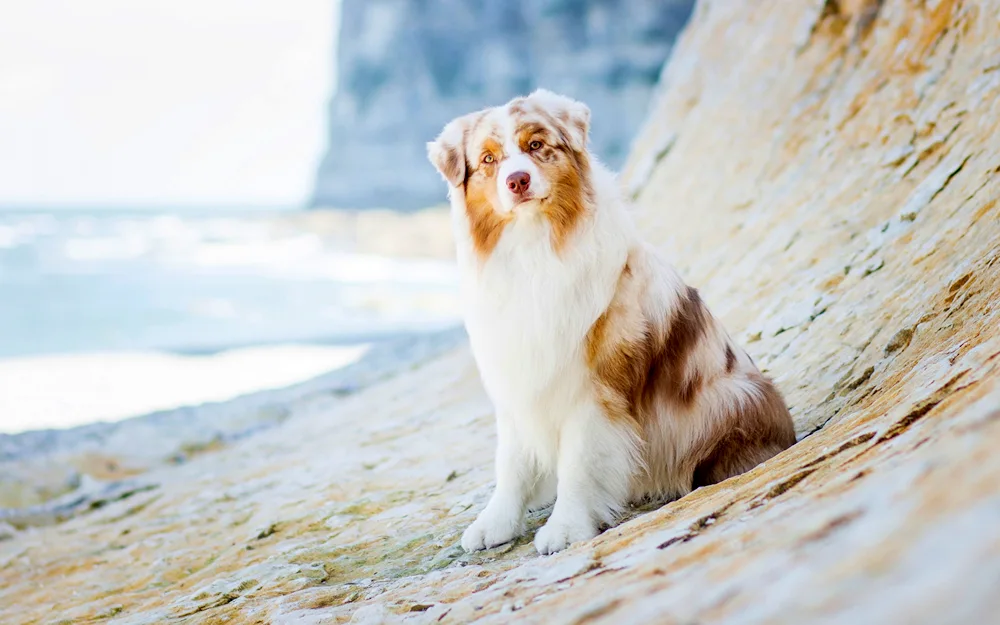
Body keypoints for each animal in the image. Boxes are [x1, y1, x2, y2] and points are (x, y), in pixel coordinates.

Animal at [426, 89, 792, 556]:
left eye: (536, 145)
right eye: (489, 159)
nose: (517, 180)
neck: (534, 251)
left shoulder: (594, 388)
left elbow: (579, 464)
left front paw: (566, 528)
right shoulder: (516, 377)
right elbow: (511, 462)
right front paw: (496, 523)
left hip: (729, 395)